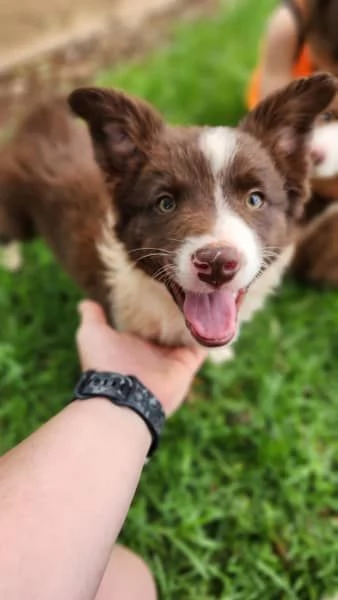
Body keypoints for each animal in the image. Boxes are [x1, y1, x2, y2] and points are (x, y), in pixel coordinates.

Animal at [0, 76, 336, 360]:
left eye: (255, 199)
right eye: (165, 203)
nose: (217, 265)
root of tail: (42, 110)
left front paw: (220, 355)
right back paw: (11, 260)